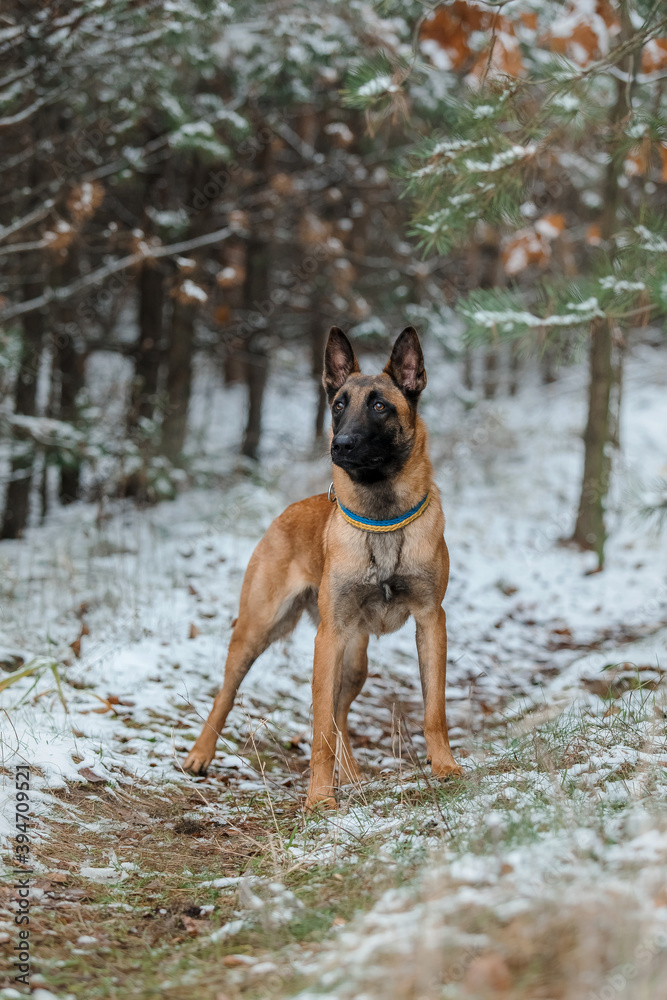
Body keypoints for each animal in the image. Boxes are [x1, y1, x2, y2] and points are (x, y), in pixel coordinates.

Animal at [184, 324, 464, 808]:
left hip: (353, 659)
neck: (382, 518)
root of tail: (285, 513)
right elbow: (318, 734)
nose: (341, 445)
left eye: (379, 405)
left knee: (337, 712)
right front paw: (318, 798)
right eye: (338, 405)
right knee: (230, 694)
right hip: (262, 631)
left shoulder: (431, 622)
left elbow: (434, 710)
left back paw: (350, 777)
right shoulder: (328, 639)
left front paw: (443, 766)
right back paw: (201, 755)